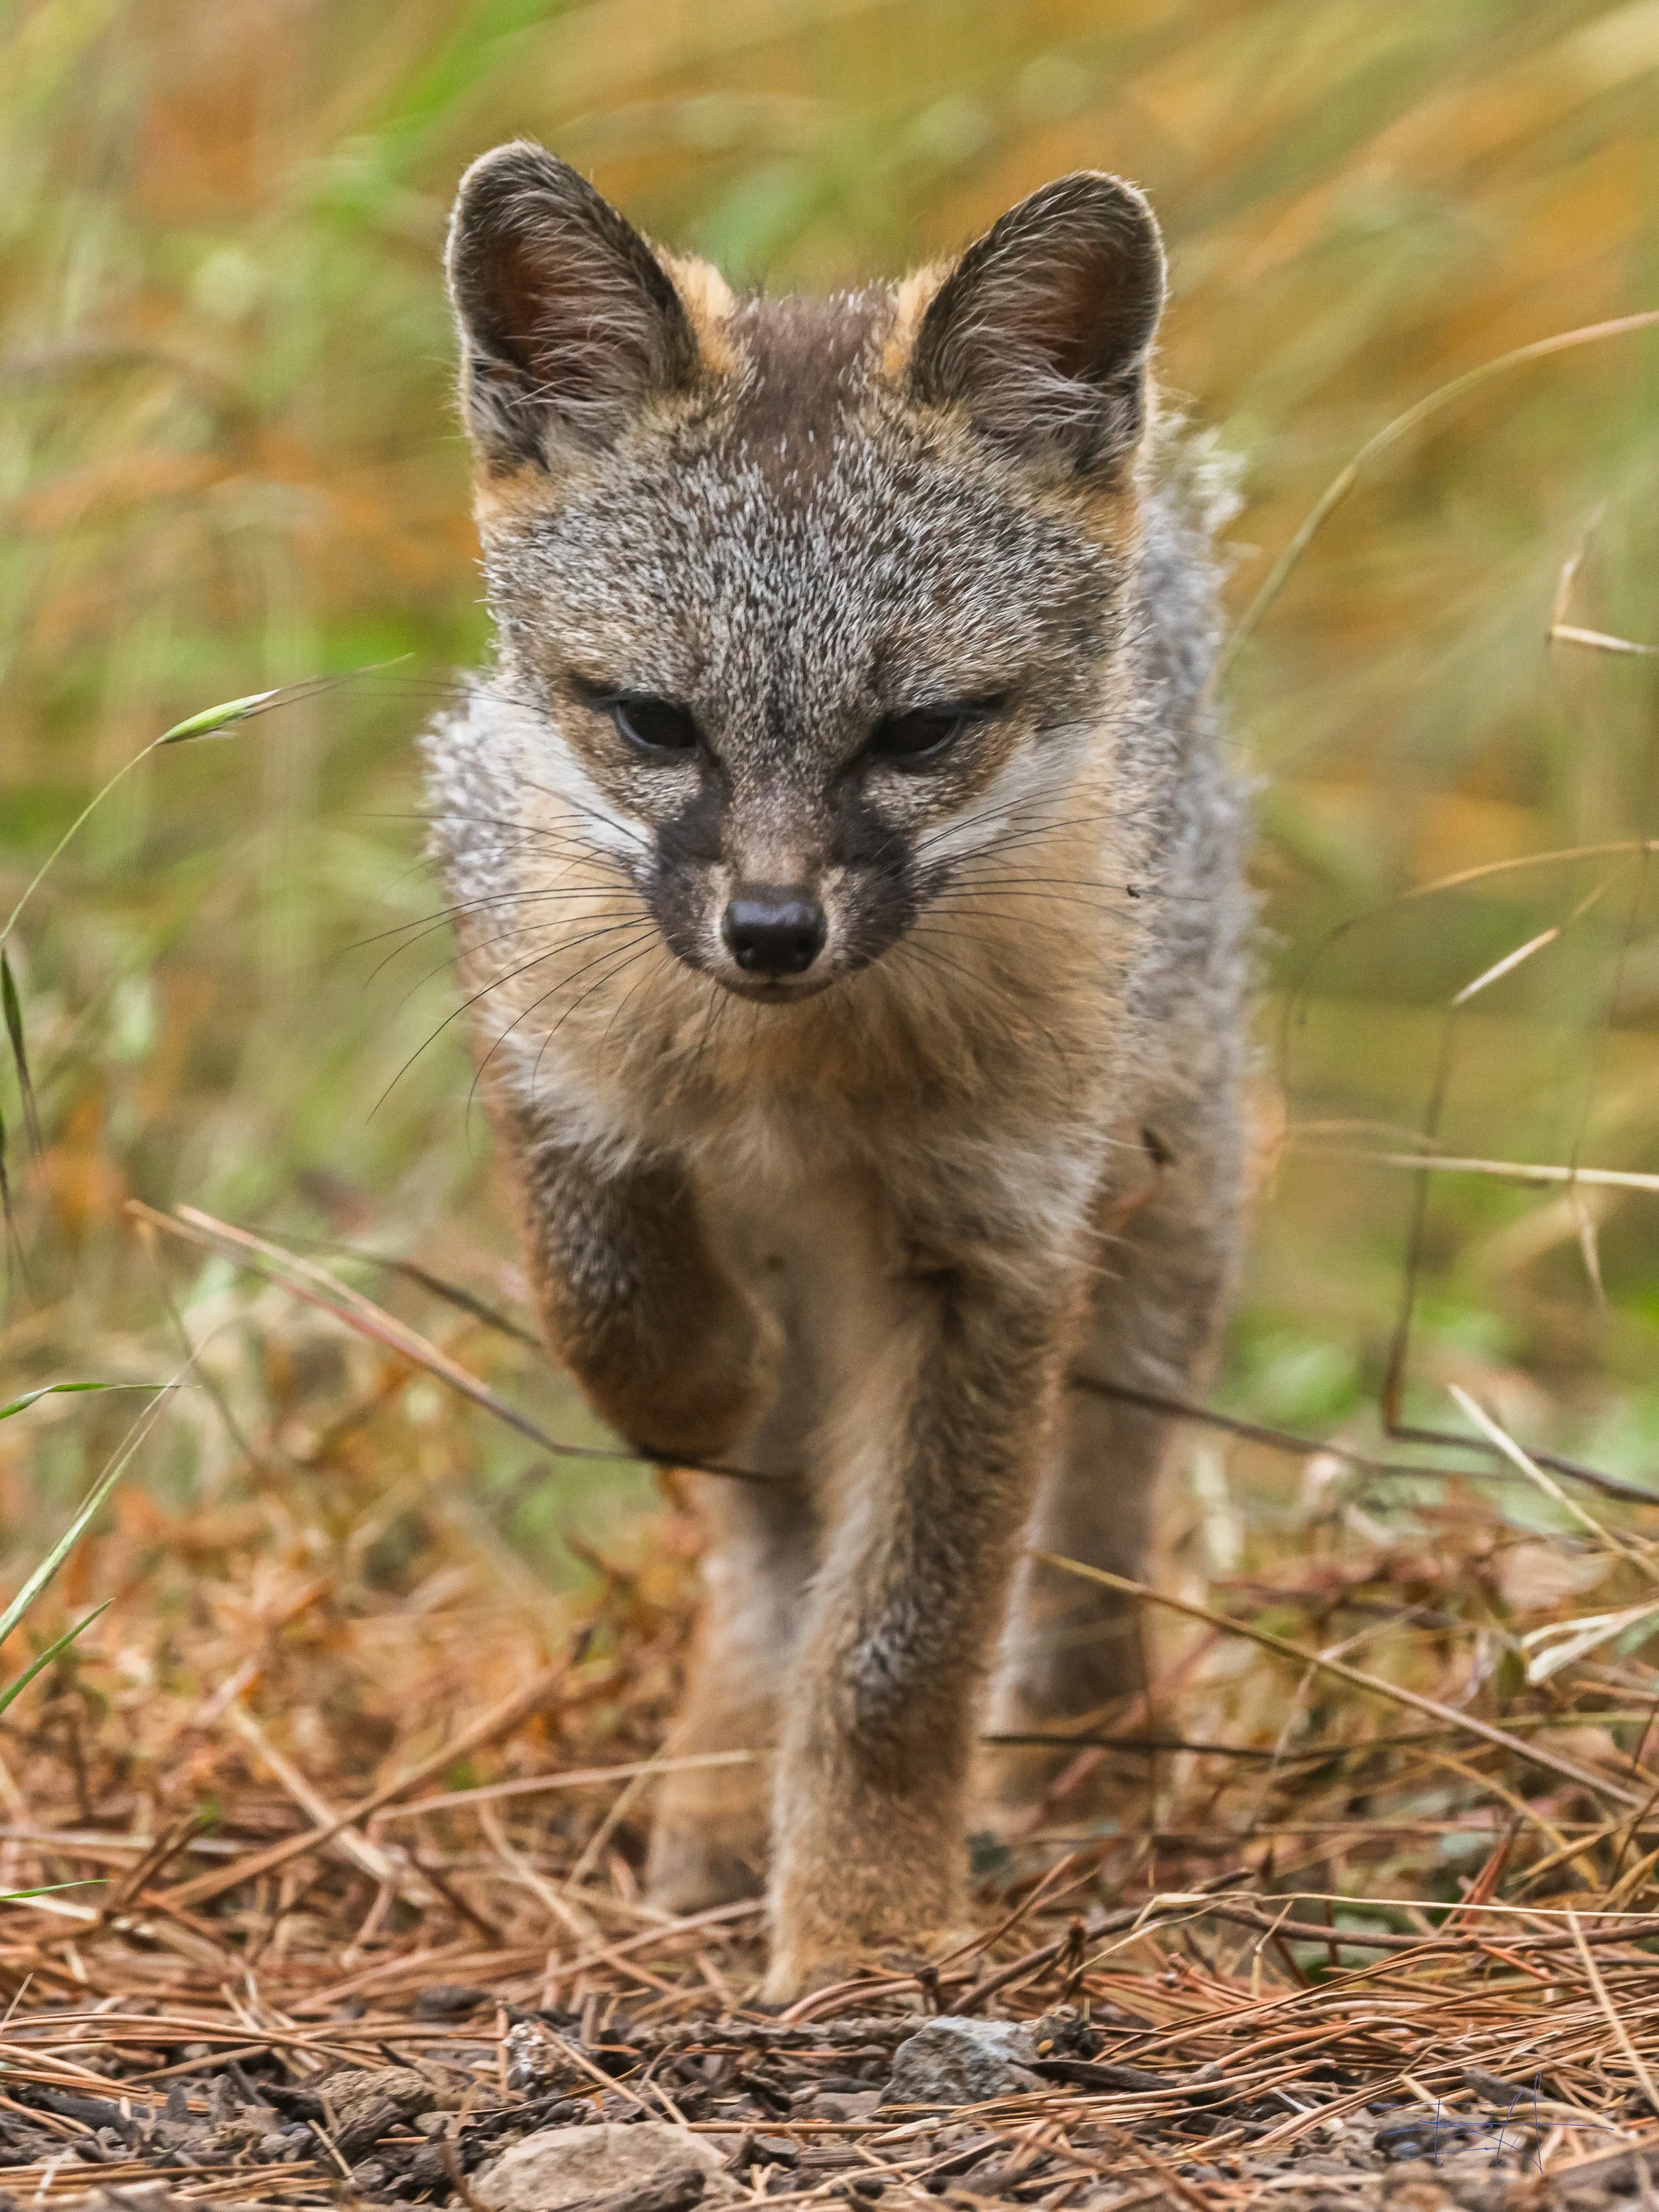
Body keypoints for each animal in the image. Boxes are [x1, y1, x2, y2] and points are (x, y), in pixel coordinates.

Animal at [423, 143, 1250, 2001]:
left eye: (920, 731)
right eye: (653, 722)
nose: (771, 929)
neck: (786, 1086)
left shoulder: (996, 1246)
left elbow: (899, 1646)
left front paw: (868, 1930)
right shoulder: (533, 1032)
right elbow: (607, 1296)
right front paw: (695, 1377)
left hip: (1159, 1257)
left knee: (1085, 1539)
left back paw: (1072, 1767)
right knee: (770, 1546)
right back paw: (719, 1802)